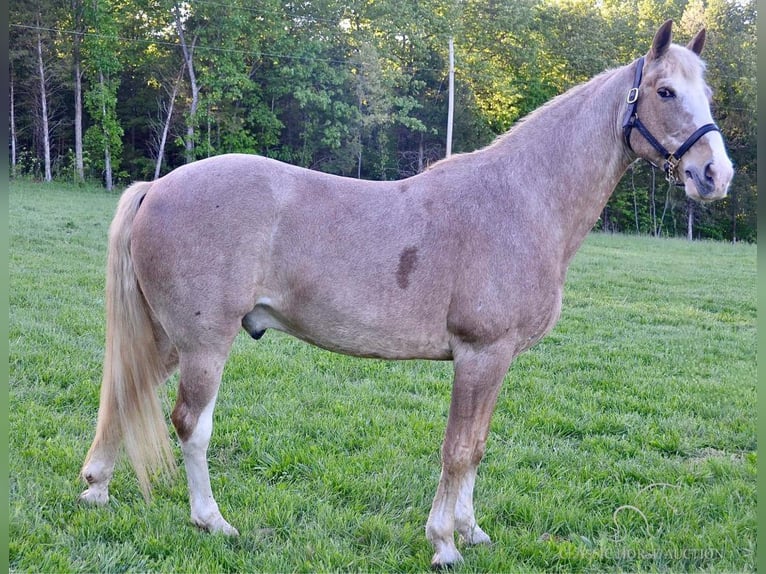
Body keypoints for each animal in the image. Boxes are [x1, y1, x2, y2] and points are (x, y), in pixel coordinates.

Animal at [81, 20, 736, 568]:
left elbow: (477, 447)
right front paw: (445, 543)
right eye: (664, 91)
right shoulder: (480, 355)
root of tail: (159, 185)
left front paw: (471, 531)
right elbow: (459, 449)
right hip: (204, 343)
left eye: (704, 92)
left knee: (125, 392)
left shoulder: (496, 361)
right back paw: (211, 521)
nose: (715, 175)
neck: (521, 200)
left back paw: (97, 489)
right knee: (190, 424)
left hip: (169, 337)